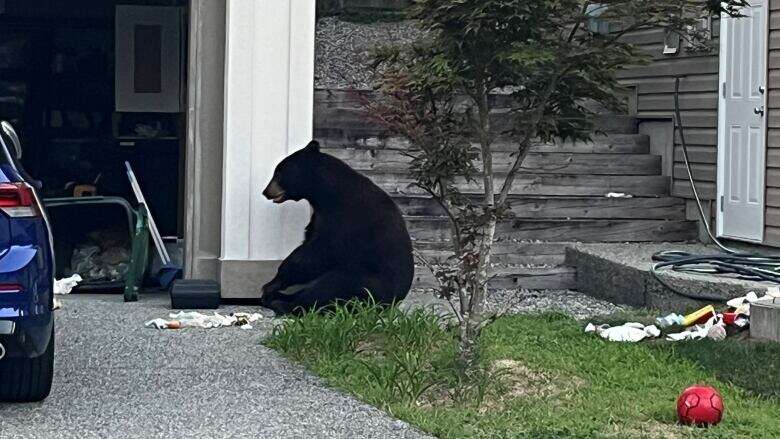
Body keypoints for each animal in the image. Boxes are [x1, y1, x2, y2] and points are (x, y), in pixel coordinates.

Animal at [258, 139, 414, 314]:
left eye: (278, 173)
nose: (266, 191)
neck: (327, 193)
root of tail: (390, 305)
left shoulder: (344, 219)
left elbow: (319, 251)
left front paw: (273, 283)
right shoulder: (319, 216)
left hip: (366, 283)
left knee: (329, 287)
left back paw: (282, 303)